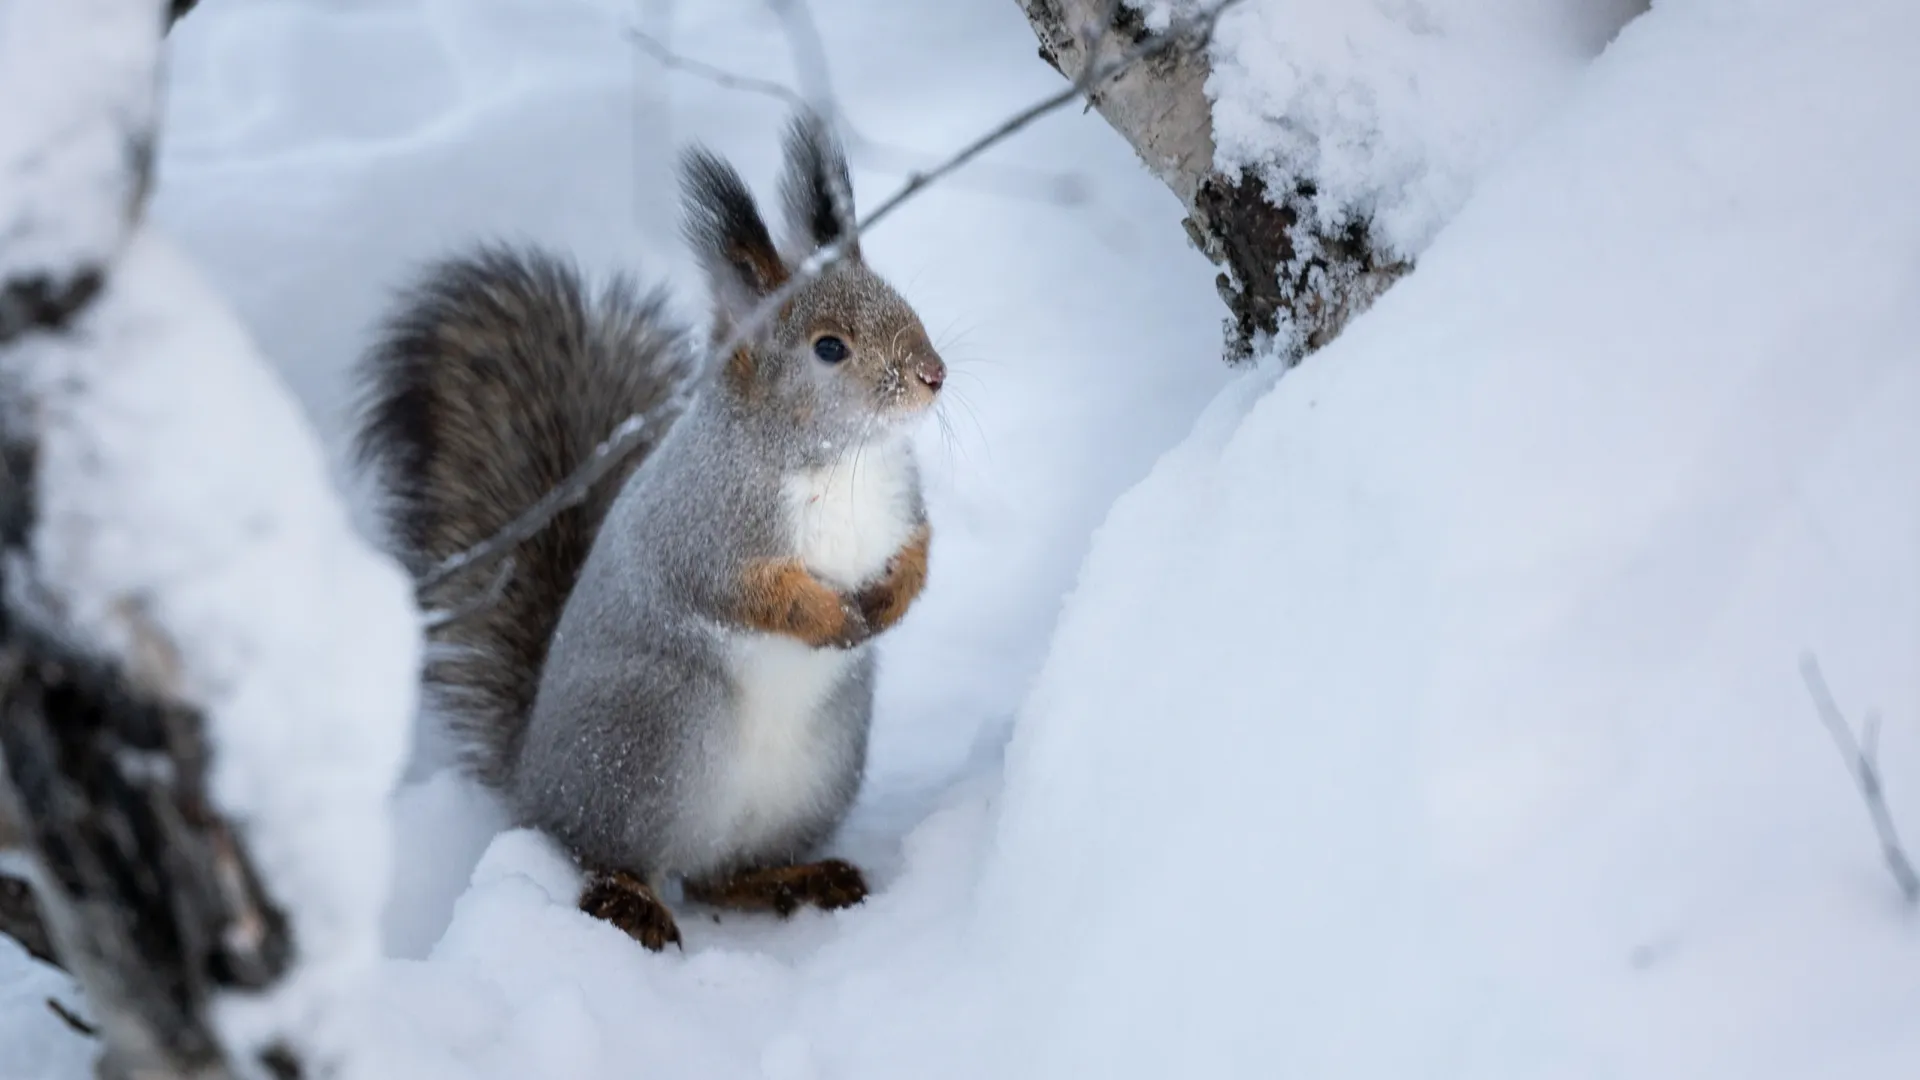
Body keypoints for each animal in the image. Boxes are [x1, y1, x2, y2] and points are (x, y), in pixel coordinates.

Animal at [355, 113, 944, 945]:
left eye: (900, 297)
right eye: (830, 347)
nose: (934, 374)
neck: (838, 459)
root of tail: (533, 777)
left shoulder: (903, 505)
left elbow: (919, 553)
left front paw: (889, 602)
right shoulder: (704, 527)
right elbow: (744, 593)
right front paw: (828, 616)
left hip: (817, 772)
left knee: (722, 875)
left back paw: (796, 878)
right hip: (654, 743)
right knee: (606, 854)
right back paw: (630, 900)